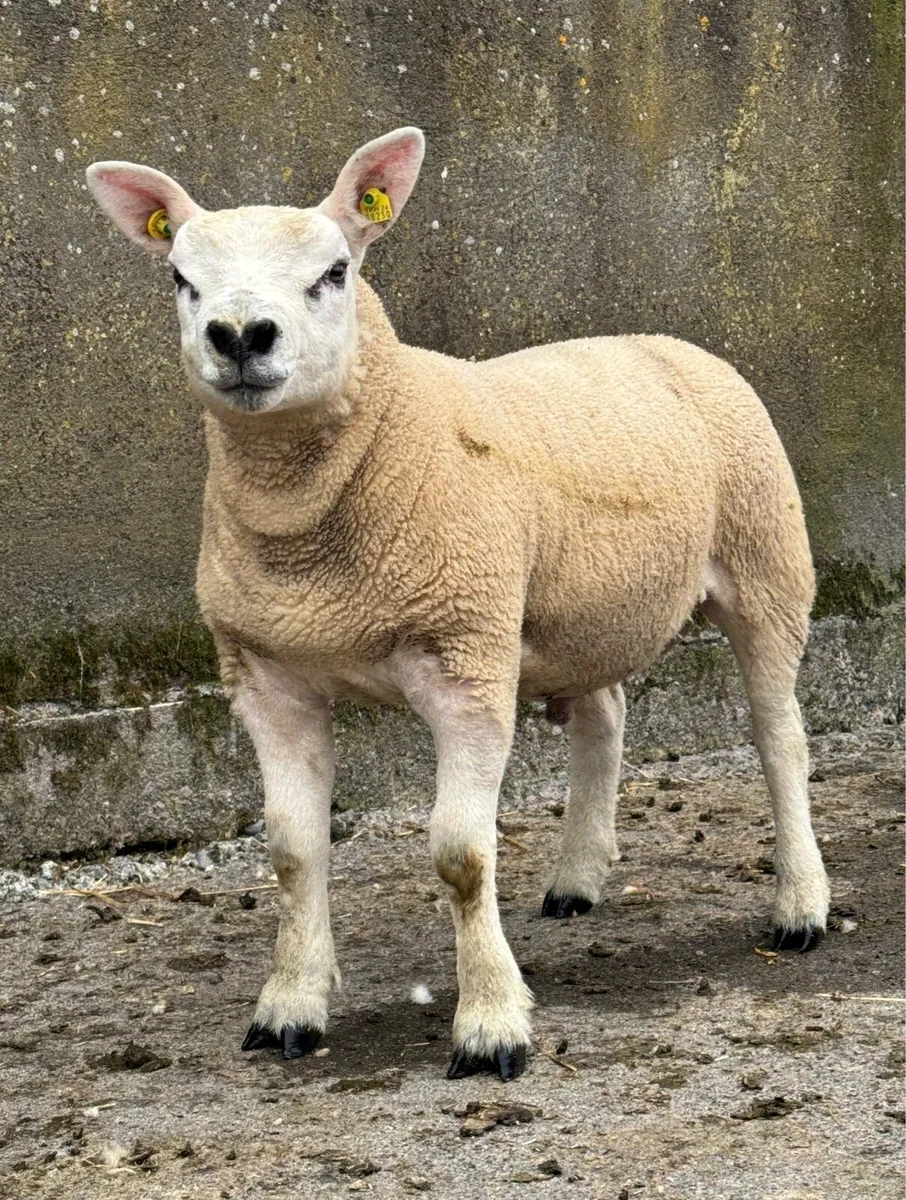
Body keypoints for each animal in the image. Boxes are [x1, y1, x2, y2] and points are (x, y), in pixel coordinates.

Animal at [86, 126, 830, 1081]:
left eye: (335, 272)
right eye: (180, 277)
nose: (240, 335)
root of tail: (664, 338)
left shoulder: (465, 653)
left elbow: (461, 856)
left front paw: (489, 1024)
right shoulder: (267, 674)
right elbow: (291, 851)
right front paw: (290, 1006)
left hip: (764, 559)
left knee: (781, 738)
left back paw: (800, 906)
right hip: (575, 601)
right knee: (606, 715)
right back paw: (578, 878)